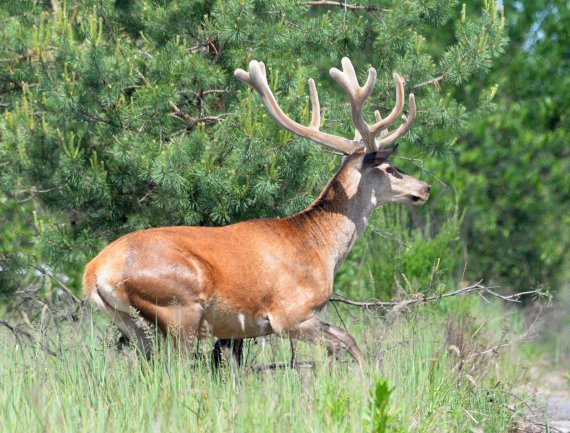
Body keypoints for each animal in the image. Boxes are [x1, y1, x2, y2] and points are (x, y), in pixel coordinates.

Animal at [83, 55, 430, 362]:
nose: (425, 188)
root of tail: (94, 272)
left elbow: (345, 341)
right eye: (390, 168)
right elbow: (348, 342)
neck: (319, 248)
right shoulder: (288, 314)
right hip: (179, 306)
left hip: (131, 324)